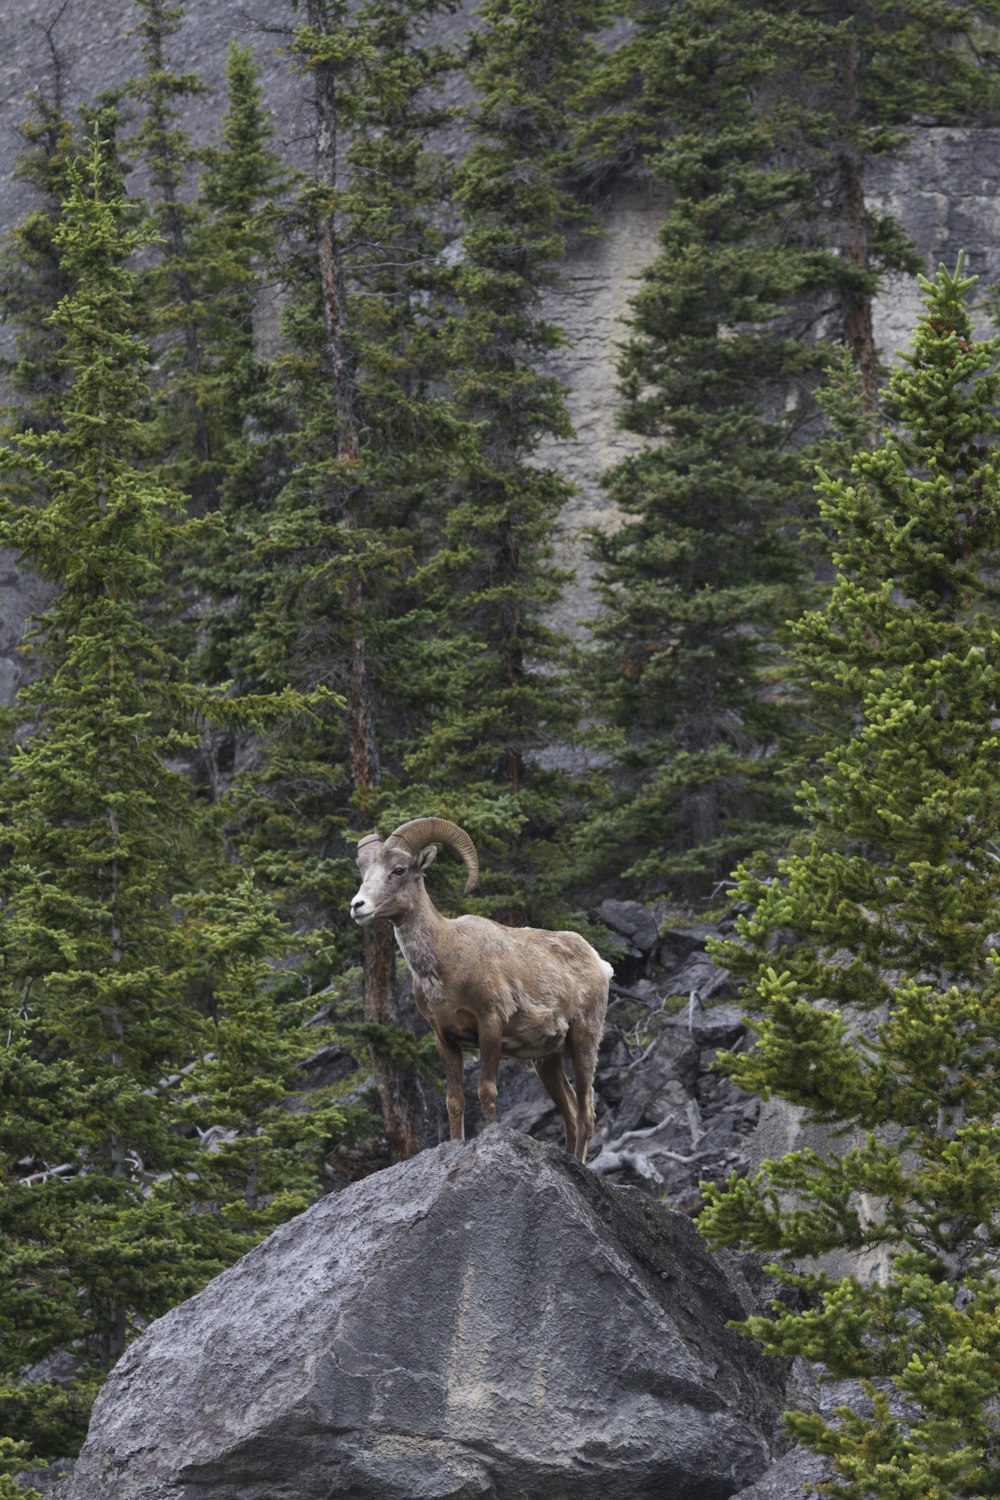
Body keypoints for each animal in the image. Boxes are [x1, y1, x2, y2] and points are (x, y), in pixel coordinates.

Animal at [352, 822, 611, 1158]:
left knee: (586, 1114)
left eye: (398, 870)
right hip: (547, 1059)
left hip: (584, 1040)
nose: (358, 906)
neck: (446, 961)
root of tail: (599, 963)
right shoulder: (445, 1039)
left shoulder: (490, 1026)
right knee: (569, 1113)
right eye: (363, 870)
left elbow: (486, 1090)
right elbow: (454, 1101)